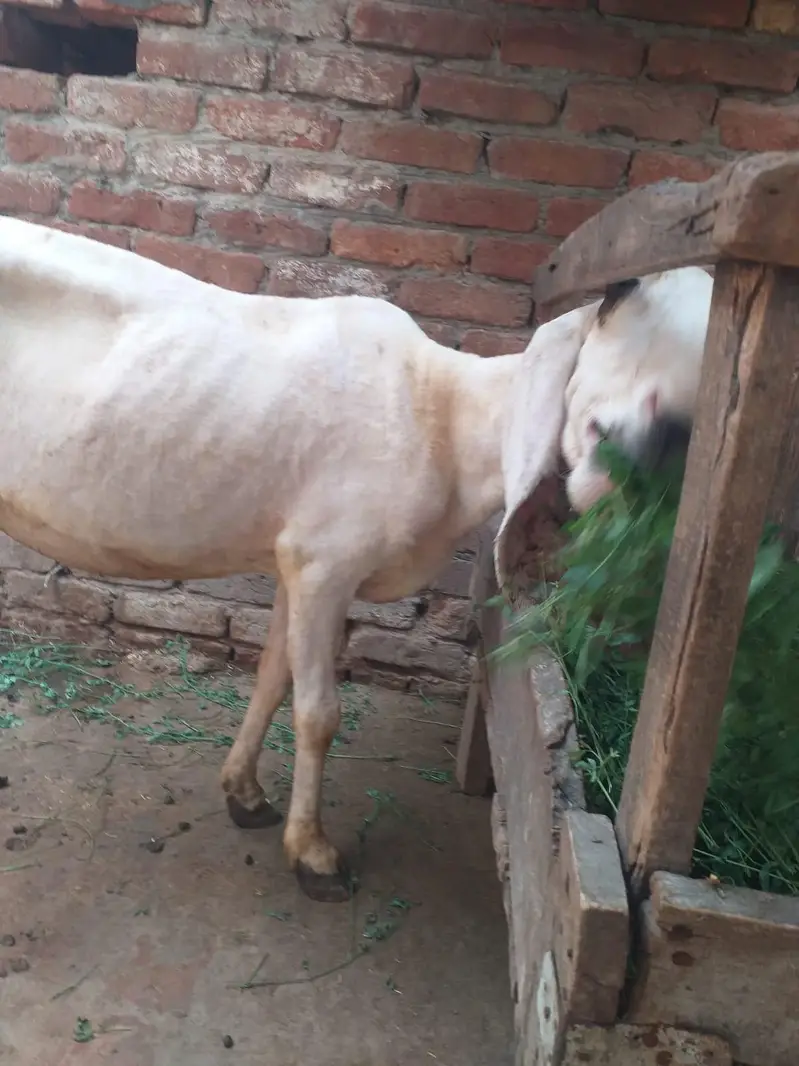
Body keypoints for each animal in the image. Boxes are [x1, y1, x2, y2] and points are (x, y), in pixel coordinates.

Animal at [0, 216, 713, 902]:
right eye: (619, 297)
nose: (658, 443)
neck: (444, 414)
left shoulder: (295, 559)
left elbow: (273, 676)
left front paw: (245, 794)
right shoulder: (326, 563)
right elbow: (319, 714)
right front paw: (313, 855)